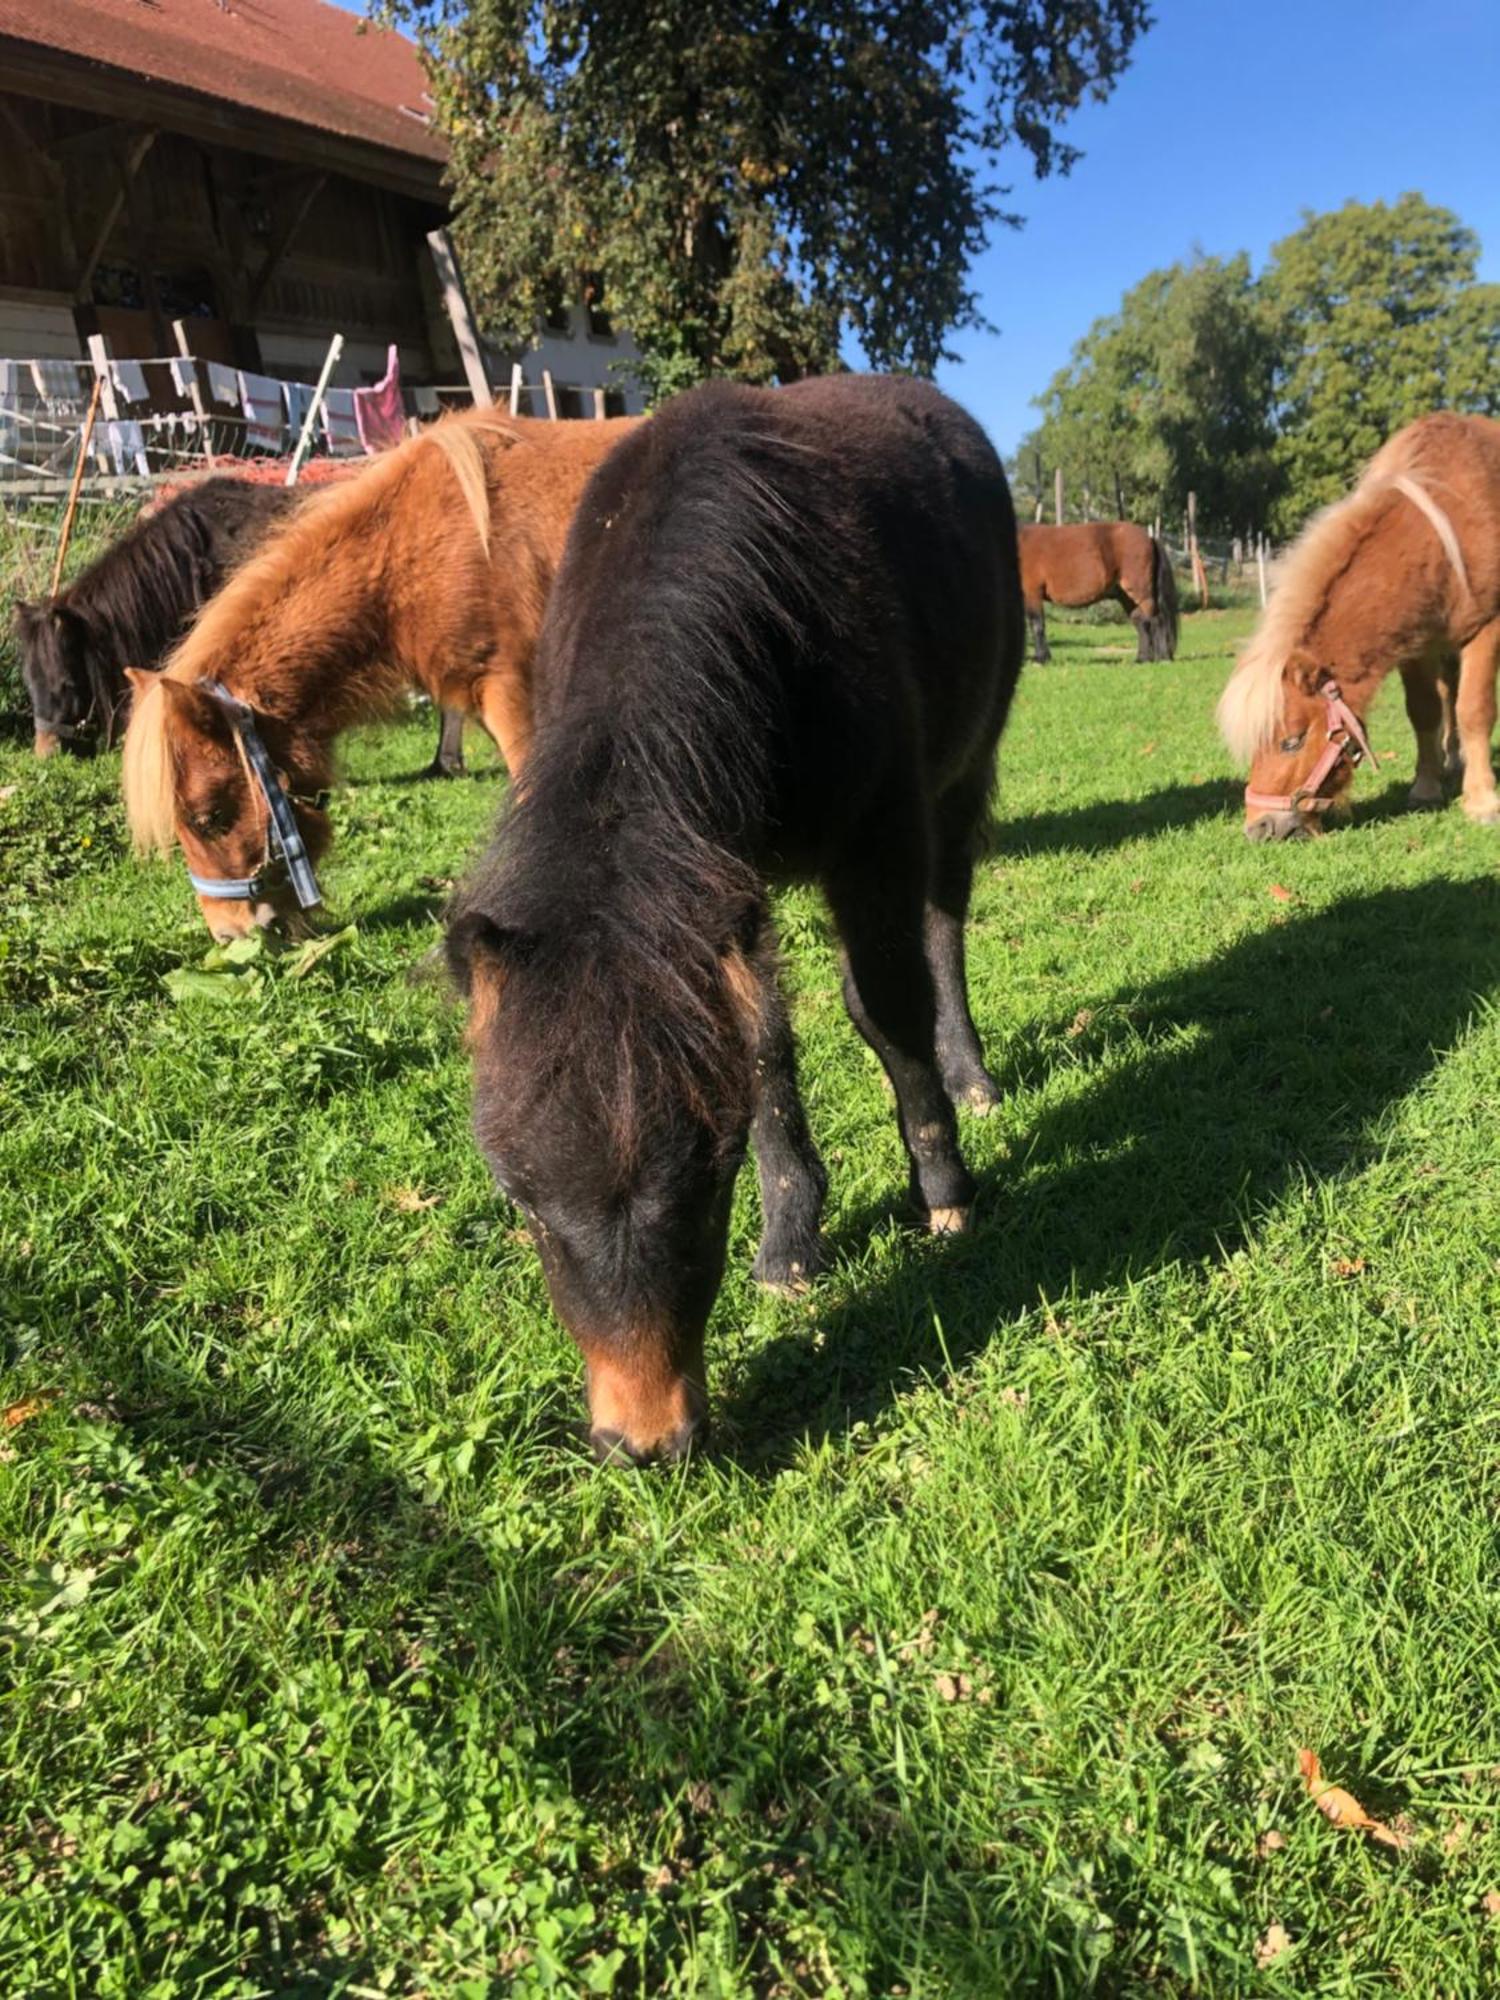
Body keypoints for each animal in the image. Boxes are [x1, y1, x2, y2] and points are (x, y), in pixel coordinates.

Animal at [446, 378, 1032, 1472]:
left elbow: (888, 1010)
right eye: (520, 1198)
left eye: (710, 1179)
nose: (643, 1440)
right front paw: (791, 1244)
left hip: (964, 772)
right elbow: (761, 1049)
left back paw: (971, 1074)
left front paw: (943, 1189)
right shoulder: (725, 884)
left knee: (943, 929)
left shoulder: (878, 839)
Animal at [1016, 520, 1184, 660]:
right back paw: (1142, 659)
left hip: (1141, 592)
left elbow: (1037, 625)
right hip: (1126, 597)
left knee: (1156, 620)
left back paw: (1163, 657)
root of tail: (1149, 538)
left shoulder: (1032, 594)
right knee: (1142, 623)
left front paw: (1041, 658)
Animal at [1224, 414, 1500, 836]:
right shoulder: (1415, 646)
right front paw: (1426, 786)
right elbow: (1424, 711)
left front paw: (1483, 801)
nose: (1259, 828)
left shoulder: (1485, 629)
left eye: (1292, 741)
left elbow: (1475, 709)